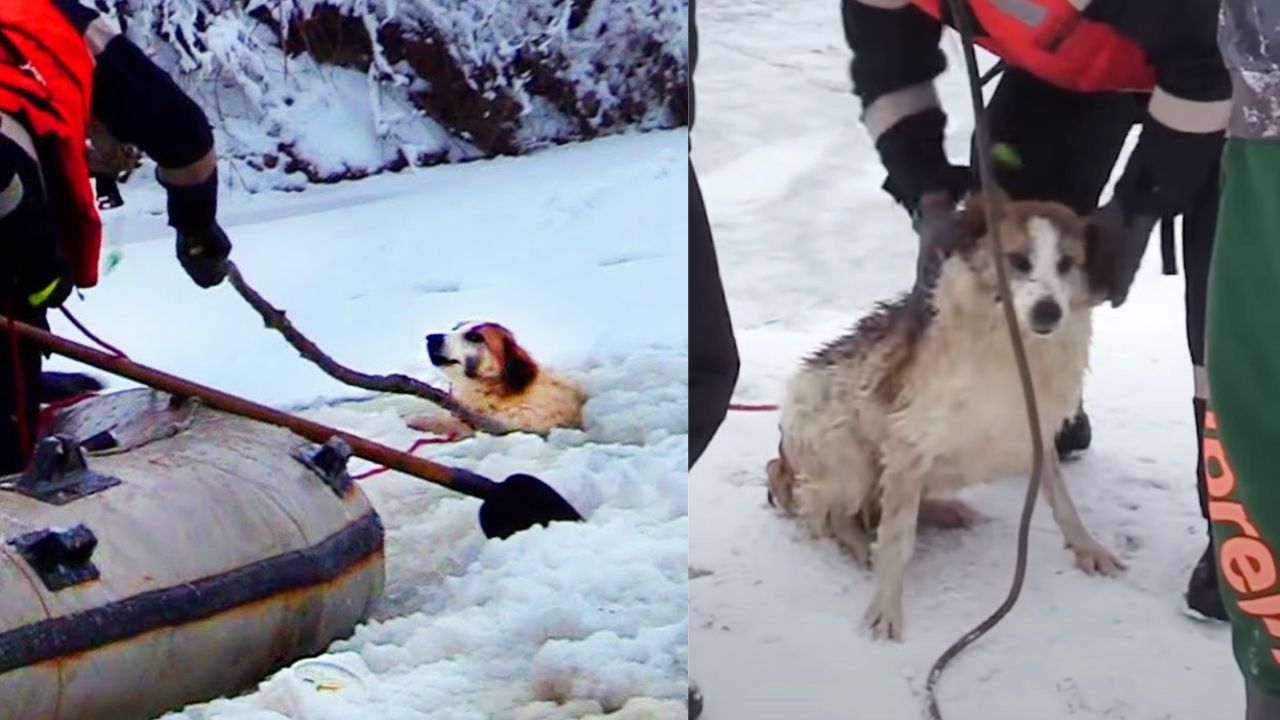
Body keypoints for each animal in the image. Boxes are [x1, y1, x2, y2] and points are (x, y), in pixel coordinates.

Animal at [762, 192, 1126, 638]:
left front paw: (1088, 547)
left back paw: (944, 511)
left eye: (1066, 263)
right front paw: (886, 606)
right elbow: (896, 540)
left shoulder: (1035, 431)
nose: (1048, 312)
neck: (1015, 346)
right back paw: (863, 546)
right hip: (844, 456)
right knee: (835, 518)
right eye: (1018, 260)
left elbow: (1064, 502)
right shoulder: (907, 445)